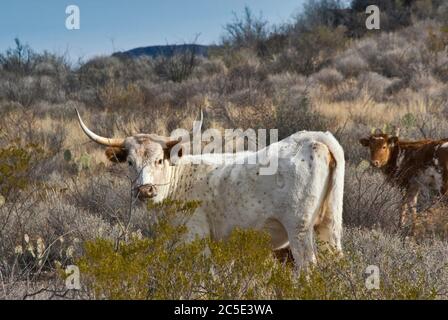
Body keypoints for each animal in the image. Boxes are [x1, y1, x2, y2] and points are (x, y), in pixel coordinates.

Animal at [76, 110, 344, 268]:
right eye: (130, 162)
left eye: (159, 160)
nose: (145, 190)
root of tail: (312, 138)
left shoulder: (195, 238)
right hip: (329, 225)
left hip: (299, 228)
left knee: (307, 265)